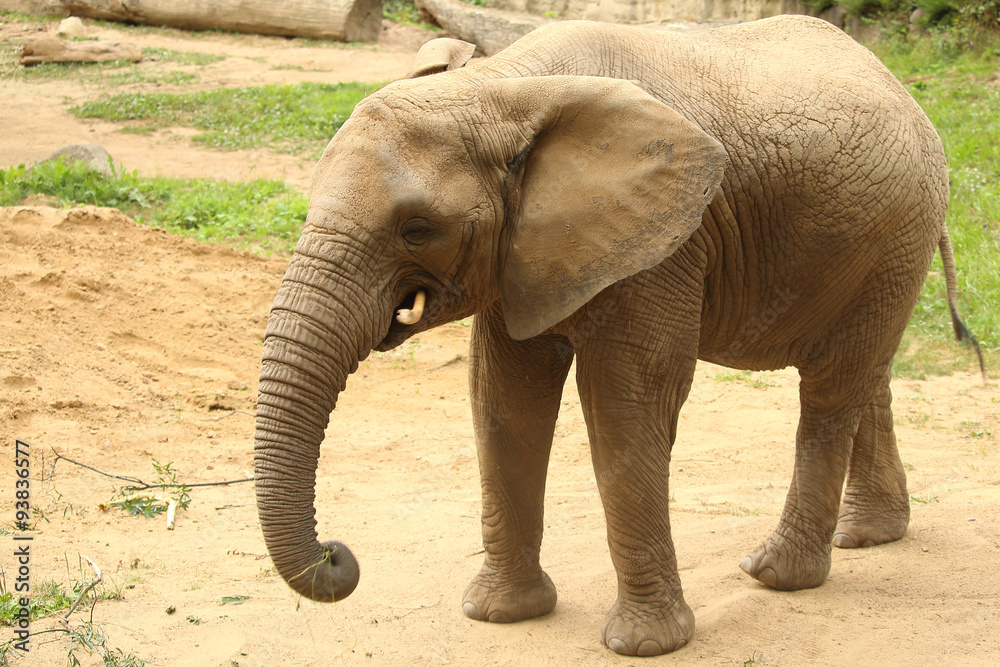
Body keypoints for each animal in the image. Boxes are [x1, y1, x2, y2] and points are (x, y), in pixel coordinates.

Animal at [253, 16, 980, 656]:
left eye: (416, 229)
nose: (338, 555)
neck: (503, 89)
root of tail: (902, 90)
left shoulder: (668, 239)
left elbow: (627, 398)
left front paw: (644, 645)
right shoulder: (524, 252)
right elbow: (503, 397)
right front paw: (500, 615)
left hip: (898, 231)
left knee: (832, 388)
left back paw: (776, 574)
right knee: (866, 375)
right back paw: (869, 536)